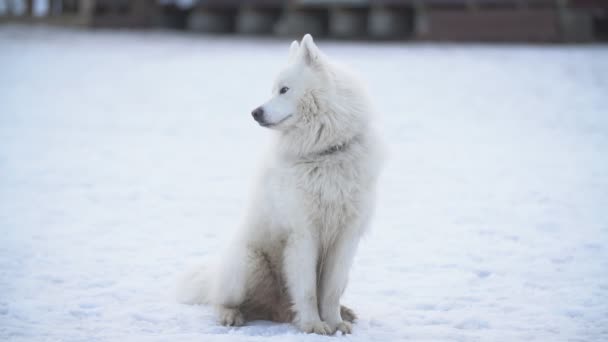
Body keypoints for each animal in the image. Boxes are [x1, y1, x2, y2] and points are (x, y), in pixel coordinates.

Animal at [178, 34, 382, 334]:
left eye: (284, 90)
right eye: (273, 90)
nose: (255, 112)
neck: (325, 153)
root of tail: (278, 311)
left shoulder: (346, 236)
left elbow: (330, 291)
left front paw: (335, 323)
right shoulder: (304, 234)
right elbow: (307, 290)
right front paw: (313, 325)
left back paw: (345, 311)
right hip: (247, 265)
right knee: (221, 301)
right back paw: (231, 316)